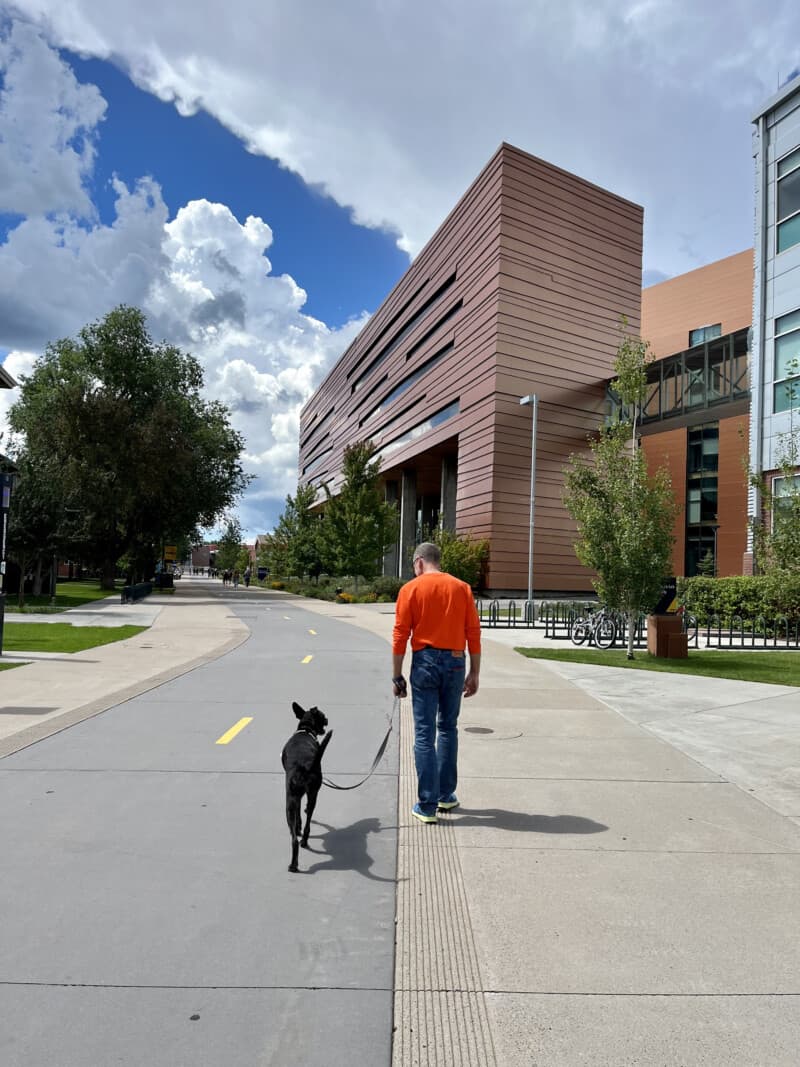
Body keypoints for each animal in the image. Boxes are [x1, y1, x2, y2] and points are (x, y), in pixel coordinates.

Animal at [281, 704, 332, 870]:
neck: (306, 730)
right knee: (304, 825)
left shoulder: (295, 797)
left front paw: (298, 827)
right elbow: (300, 813)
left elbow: (299, 815)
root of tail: (305, 766)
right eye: (323, 717)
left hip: (291, 801)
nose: (327, 719)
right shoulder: (299, 796)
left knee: (298, 833)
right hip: (310, 795)